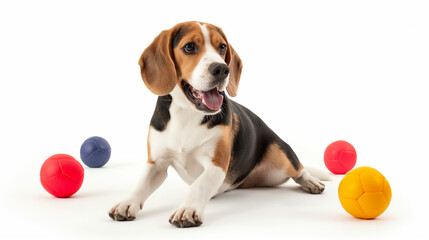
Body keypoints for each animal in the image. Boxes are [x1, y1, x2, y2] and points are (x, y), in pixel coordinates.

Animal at [108, 20, 324, 227]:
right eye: (189, 47)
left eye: (222, 47)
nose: (222, 69)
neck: (187, 113)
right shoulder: (156, 163)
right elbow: (141, 184)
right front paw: (127, 203)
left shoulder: (216, 164)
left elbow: (199, 185)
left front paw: (188, 209)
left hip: (281, 155)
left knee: (299, 169)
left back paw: (311, 181)